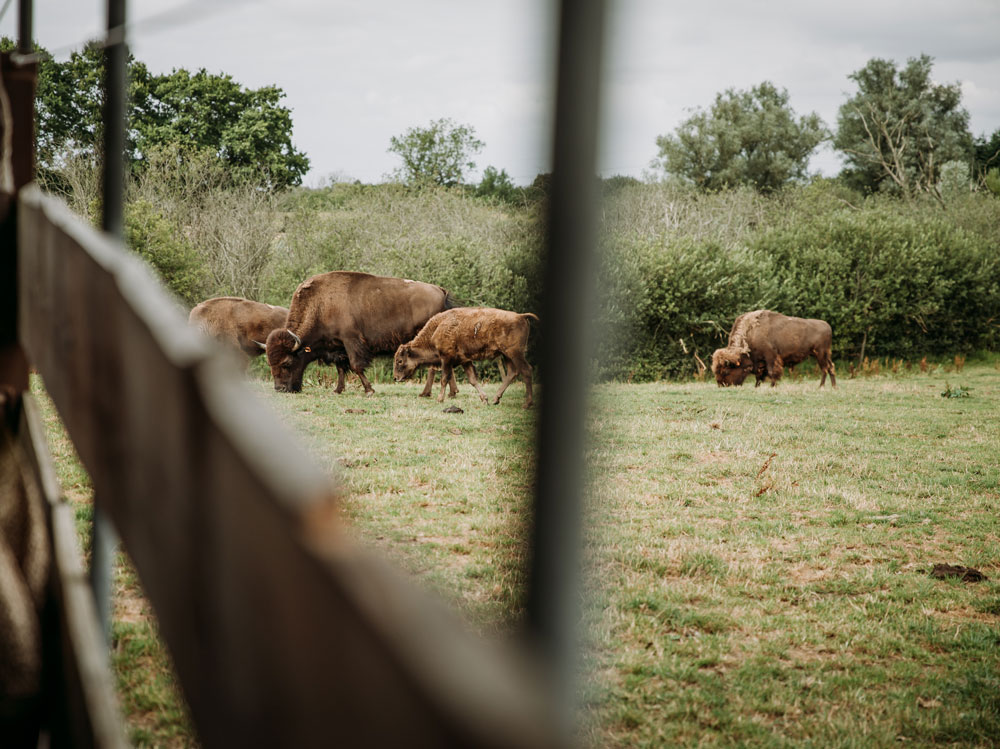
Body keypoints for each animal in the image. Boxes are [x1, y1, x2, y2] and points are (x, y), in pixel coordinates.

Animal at [266, 272, 454, 394]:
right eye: (270, 363)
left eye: (287, 363)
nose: (280, 389)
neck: (321, 305)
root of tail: (440, 290)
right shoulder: (338, 346)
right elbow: (341, 368)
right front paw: (338, 390)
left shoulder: (351, 341)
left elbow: (356, 365)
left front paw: (369, 390)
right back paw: (451, 392)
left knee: (433, 367)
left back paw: (426, 393)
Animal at [396, 306, 544, 406]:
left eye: (400, 361)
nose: (396, 378)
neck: (437, 329)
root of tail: (521, 316)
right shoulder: (465, 361)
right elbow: (472, 380)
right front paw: (485, 399)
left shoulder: (446, 358)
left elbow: (444, 378)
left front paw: (440, 399)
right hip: (506, 355)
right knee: (512, 373)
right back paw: (496, 399)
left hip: (515, 353)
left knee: (526, 370)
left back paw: (527, 404)